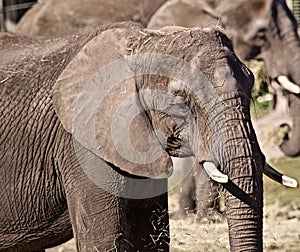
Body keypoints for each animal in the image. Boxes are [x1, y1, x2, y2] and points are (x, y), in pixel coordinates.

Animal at [0, 21, 296, 250]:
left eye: (251, 81)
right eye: (180, 99)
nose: (283, 133)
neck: (144, 41)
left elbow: (150, 237)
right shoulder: (81, 145)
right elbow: (102, 241)